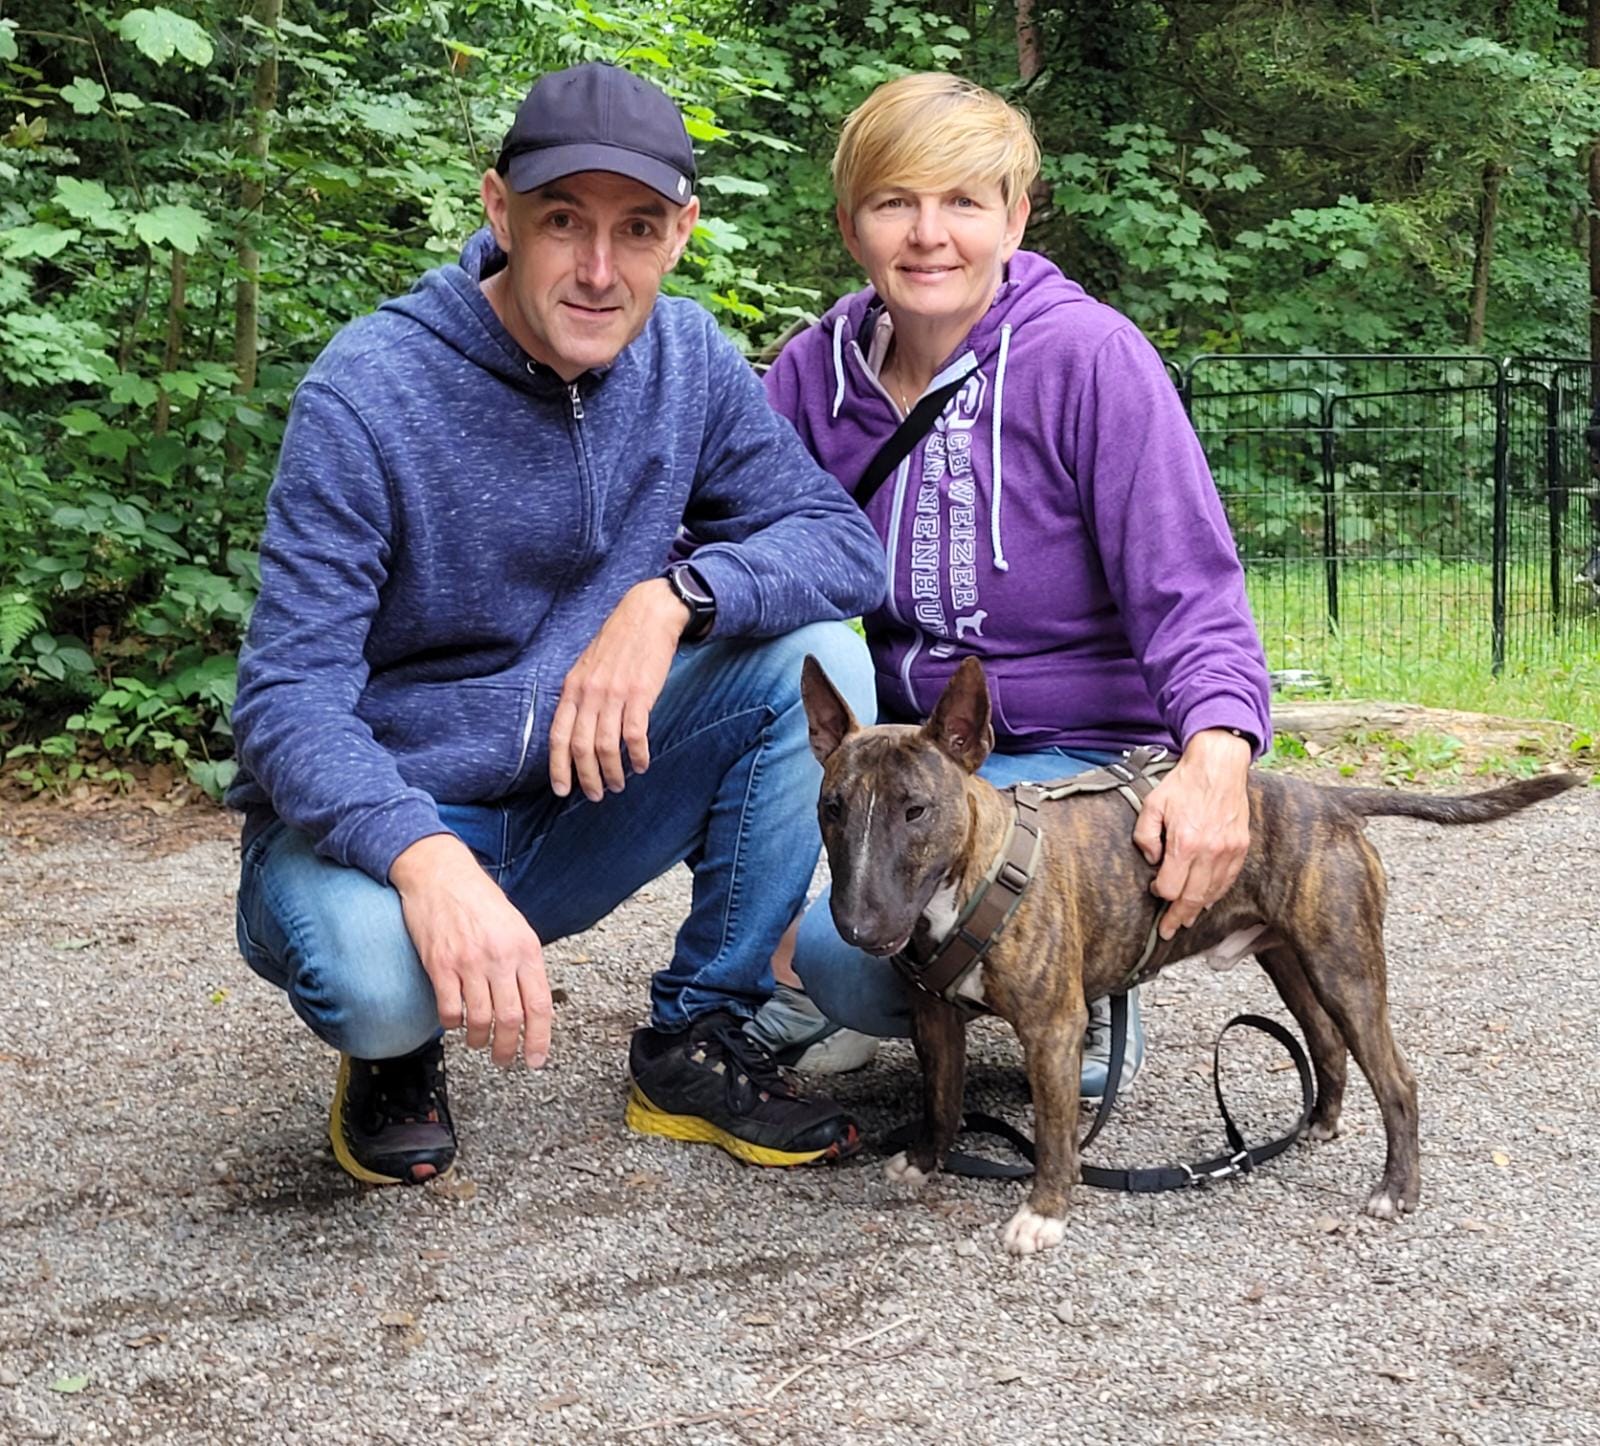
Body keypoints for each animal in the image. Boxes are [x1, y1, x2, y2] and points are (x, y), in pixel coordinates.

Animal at [801, 655, 1581, 1255]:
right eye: (832, 807)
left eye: (915, 810)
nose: (858, 926)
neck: (972, 875)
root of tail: (1329, 801)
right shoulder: (934, 1018)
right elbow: (942, 1096)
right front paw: (926, 1160)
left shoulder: (1052, 1029)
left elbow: (1054, 1133)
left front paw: (1043, 1214)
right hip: (1292, 960)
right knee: (1325, 1042)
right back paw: (1317, 1124)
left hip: (1347, 966)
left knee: (1397, 1079)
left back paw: (1394, 1191)